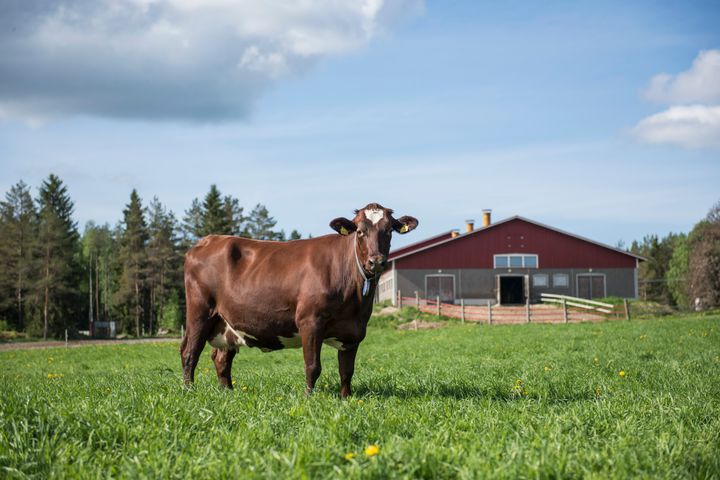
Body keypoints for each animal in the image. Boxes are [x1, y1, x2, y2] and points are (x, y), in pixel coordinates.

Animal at [180, 202, 416, 398]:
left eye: (389, 231)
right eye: (359, 231)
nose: (376, 261)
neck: (354, 299)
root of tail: (209, 239)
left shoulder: (353, 330)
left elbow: (347, 370)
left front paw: (346, 399)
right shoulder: (310, 321)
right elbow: (313, 366)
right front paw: (308, 398)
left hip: (226, 323)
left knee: (221, 359)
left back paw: (228, 392)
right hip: (200, 312)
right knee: (189, 352)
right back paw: (189, 391)